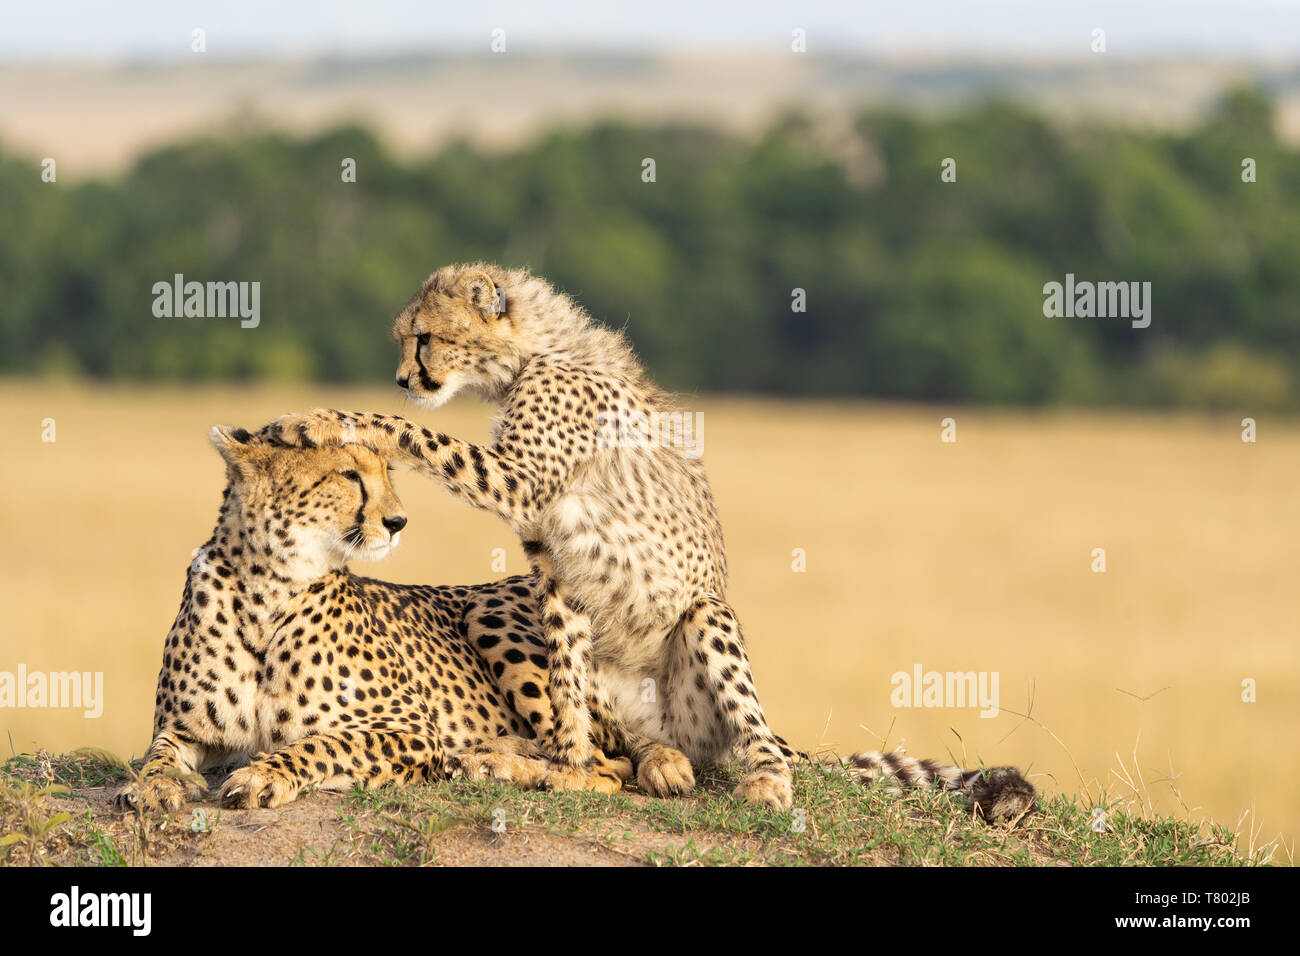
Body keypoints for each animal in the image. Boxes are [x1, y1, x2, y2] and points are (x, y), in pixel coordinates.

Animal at [114, 424, 631, 806]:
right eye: (347, 475)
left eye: (387, 471)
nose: (398, 521)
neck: (268, 588)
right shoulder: (184, 729)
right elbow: (158, 756)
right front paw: (151, 787)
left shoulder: (414, 730)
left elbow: (323, 742)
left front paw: (264, 776)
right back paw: (485, 755)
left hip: (490, 610)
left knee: (601, 768)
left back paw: (497, 765)